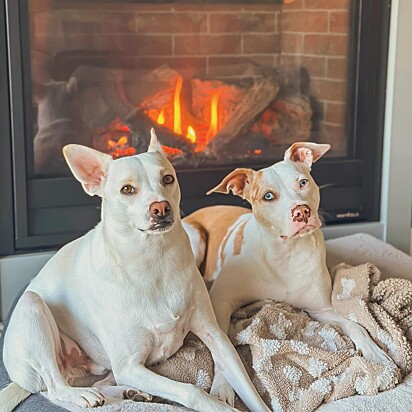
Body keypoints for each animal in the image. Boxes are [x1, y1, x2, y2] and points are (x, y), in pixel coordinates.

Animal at [0, 130, 270, 412]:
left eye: (168, 178)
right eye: (127, 189)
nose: (161, 208)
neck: (154, 261)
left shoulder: (215, 336)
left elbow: (248, 387)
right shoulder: (129, 366)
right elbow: (191, 391)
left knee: (100, 383)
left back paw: (128, 393)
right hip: (32, 307)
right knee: (53, 387)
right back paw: (82, 395)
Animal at [184, 142, 392, 406]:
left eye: (303, 182)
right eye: (268, 196)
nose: (301, 212)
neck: (285, 254)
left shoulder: (321, 310)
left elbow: (355, 326)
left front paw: (375, 351)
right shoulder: (220, 304)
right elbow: (223, 349)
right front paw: (223, 387)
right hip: (196, 237)